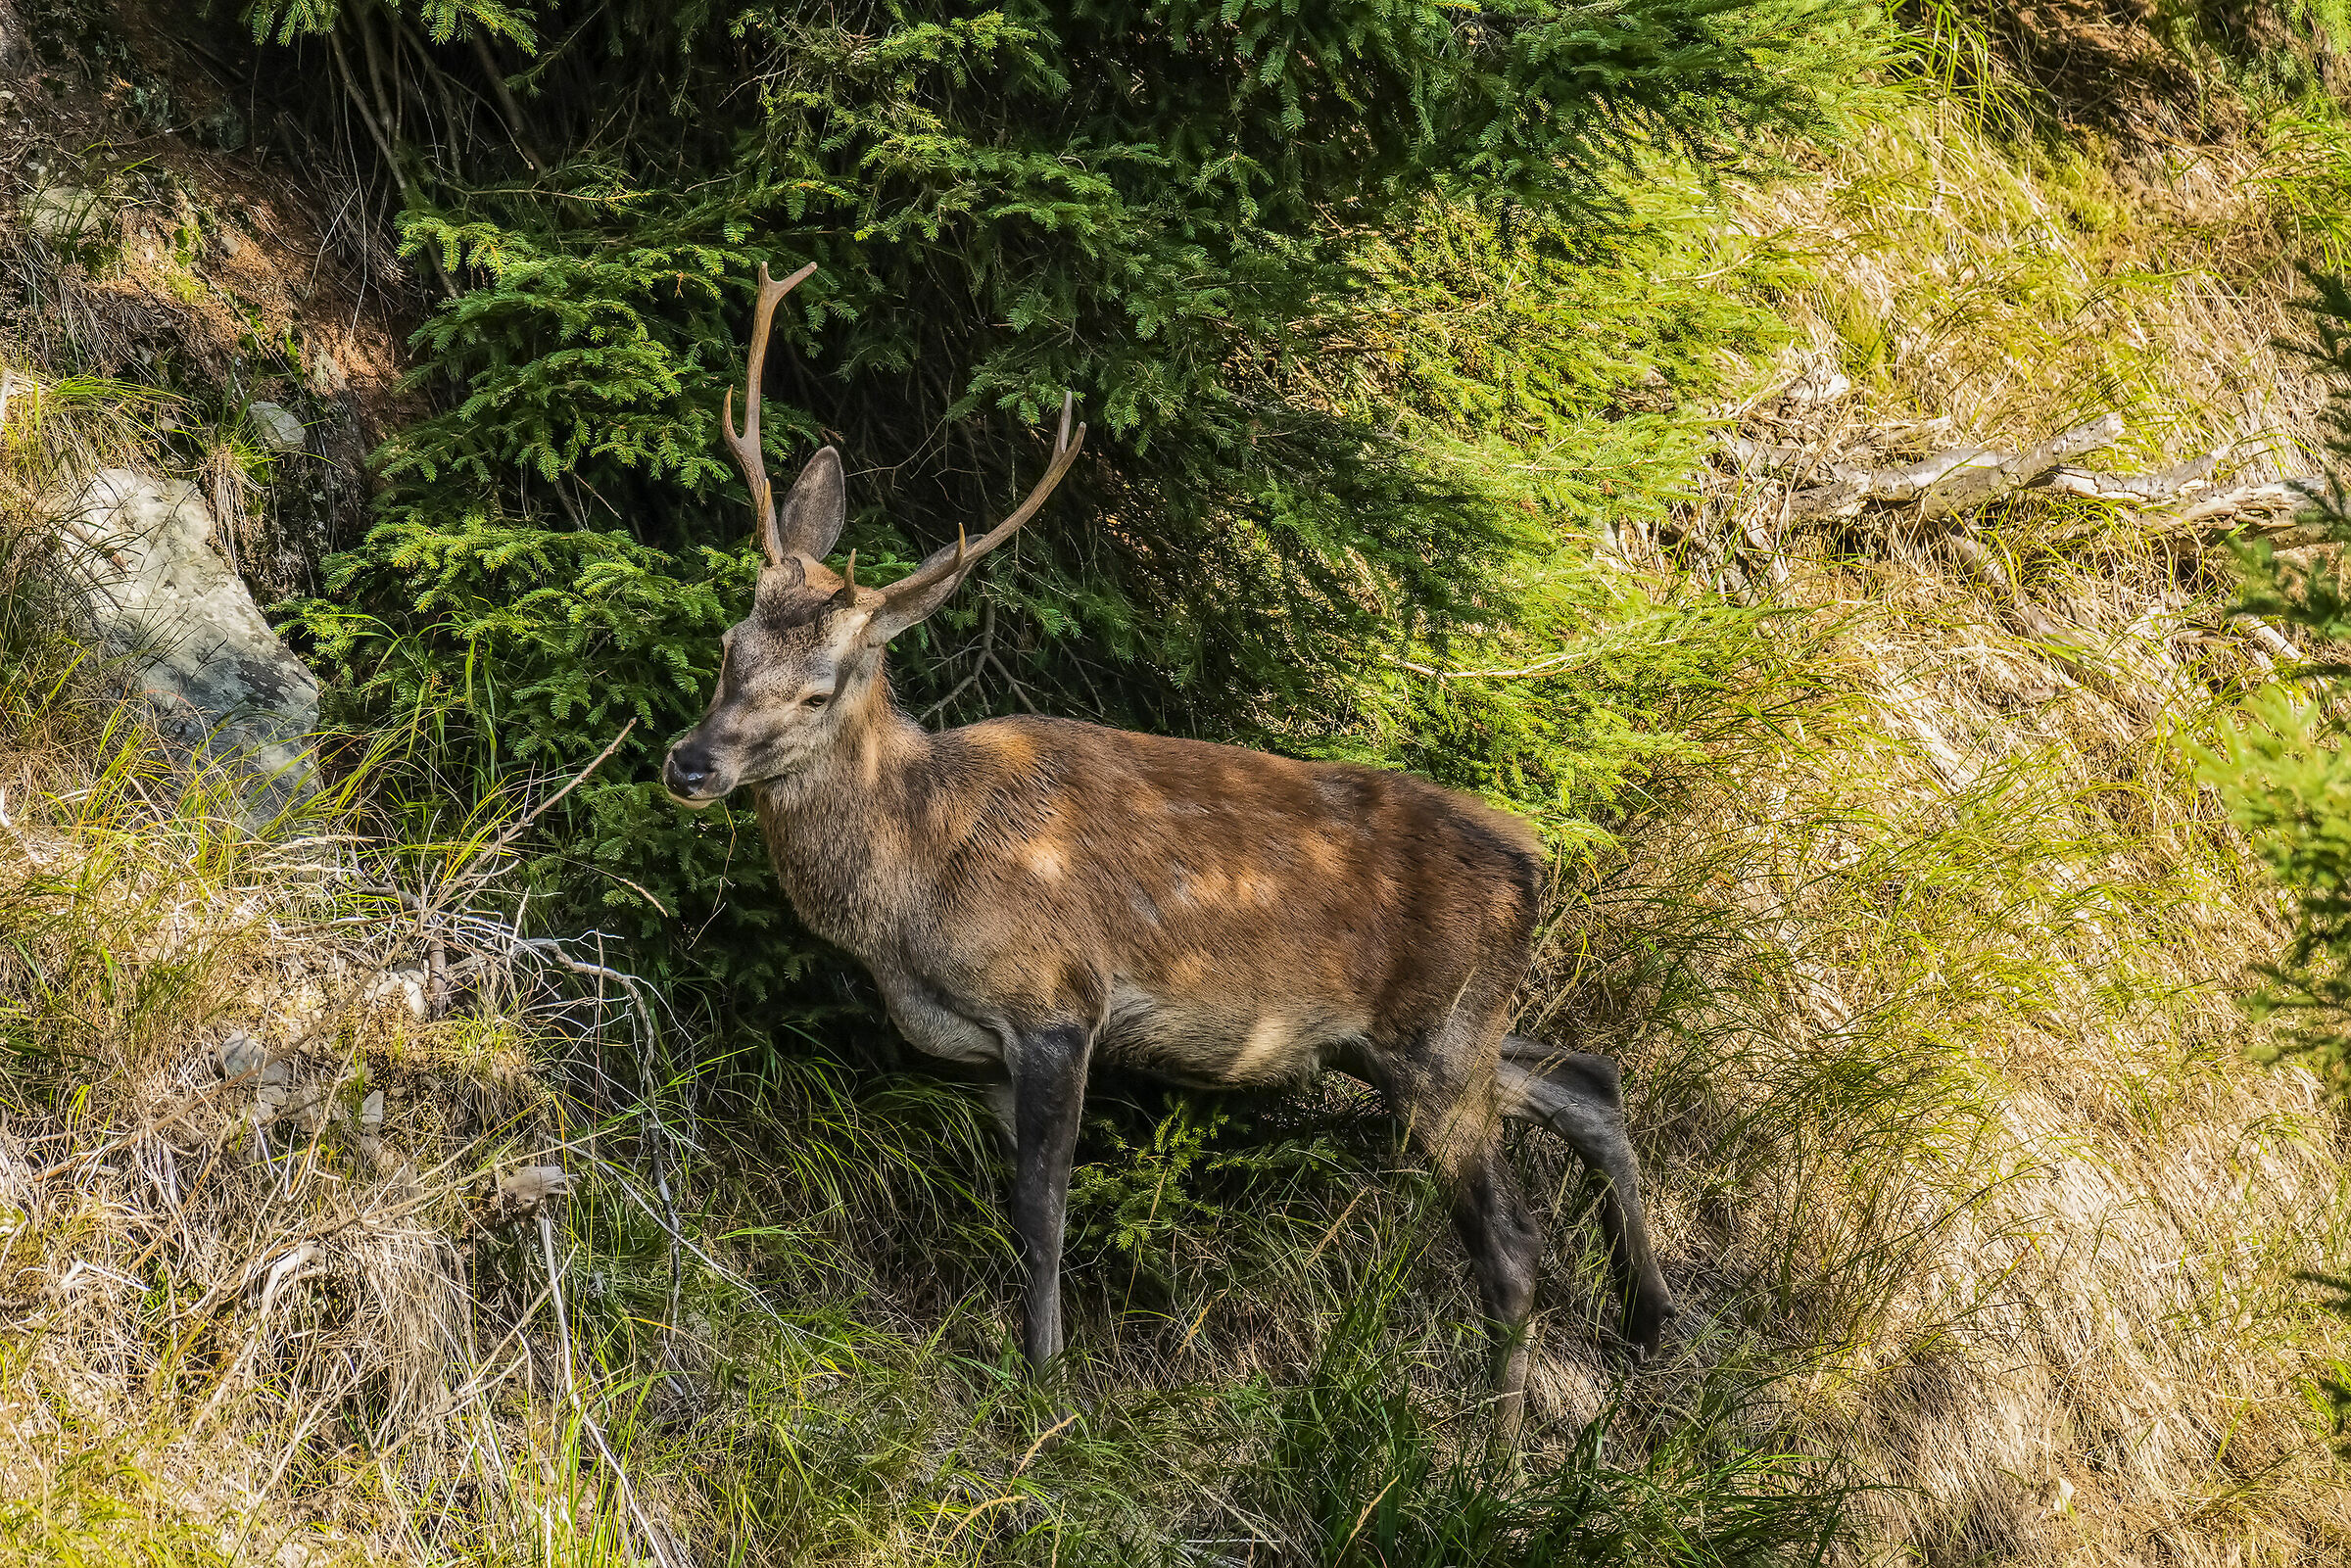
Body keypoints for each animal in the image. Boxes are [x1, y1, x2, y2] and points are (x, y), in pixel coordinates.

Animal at [661, 263, 1674, 1436]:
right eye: (727, 646)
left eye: (819, 690)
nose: (690, 763)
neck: (916, 883)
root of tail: (1534, 861)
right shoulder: (985, 1049)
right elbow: (1017, 1207)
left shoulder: (1058, 1000)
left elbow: (1042, 1211)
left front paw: (1045, 1386)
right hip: (1414, 1039)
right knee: (1590, 1077)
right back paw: (1649, 1319)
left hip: (1435, 1040)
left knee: (1510, 1246)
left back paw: (1496, 1445)